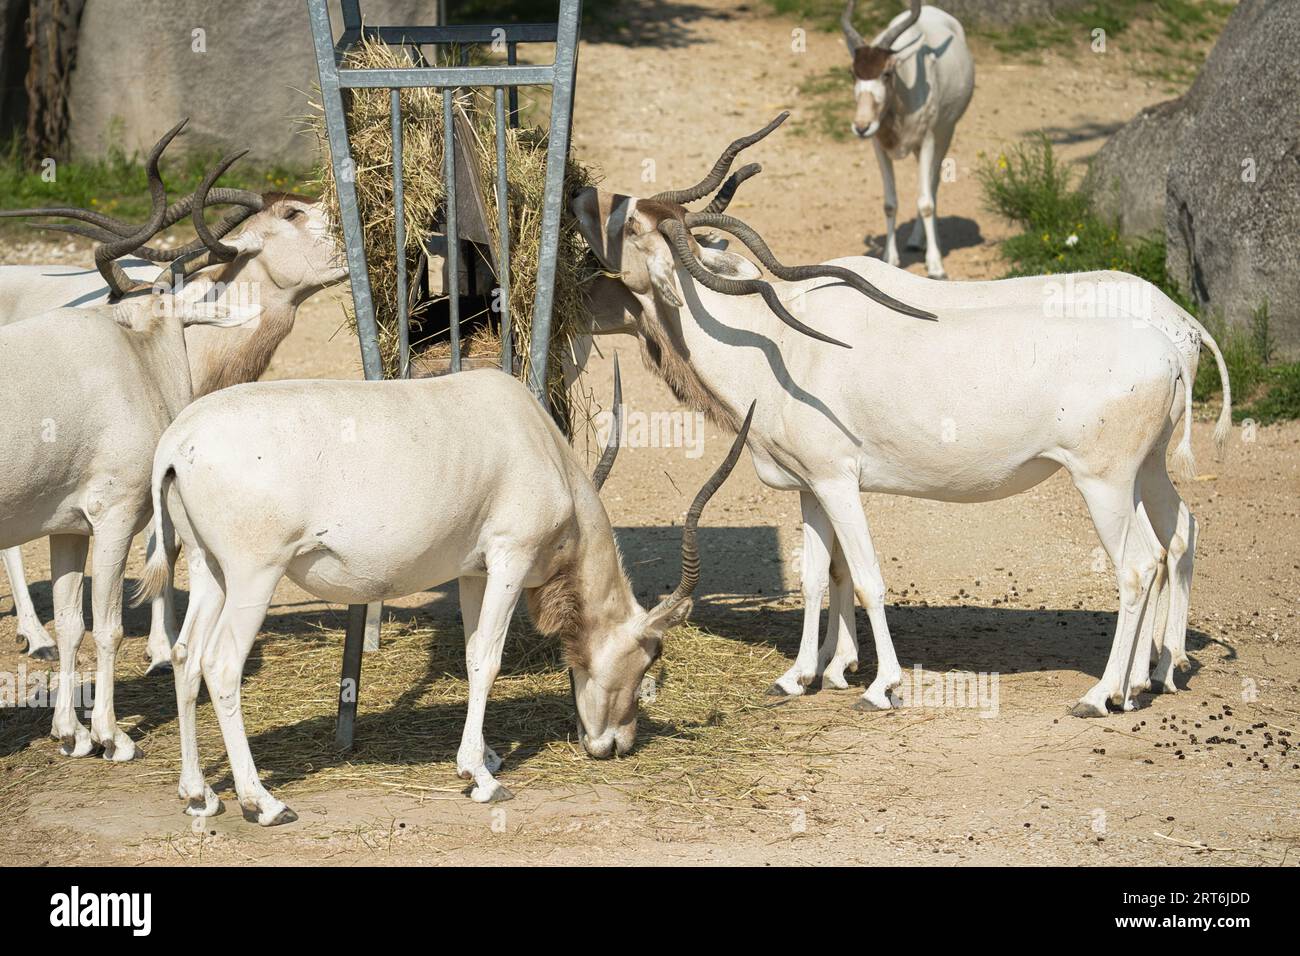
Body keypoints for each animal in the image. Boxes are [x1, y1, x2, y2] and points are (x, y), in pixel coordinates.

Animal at [0, 120, 346, 760]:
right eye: (292, 212)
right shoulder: (114, 510)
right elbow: (109, 619)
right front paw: (112, 734)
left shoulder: (77, 518)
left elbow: (85, 611)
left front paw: (75, 730)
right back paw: (32, 635)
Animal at [133, 364, 751, 824]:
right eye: (650, 659)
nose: (614, 745)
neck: (535, 440)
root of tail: (176, 444)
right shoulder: (509, 556)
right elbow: (487, 658)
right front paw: (480, 778)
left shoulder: (475, 571)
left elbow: (475, 648)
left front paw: (489, 756)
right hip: (254, 574)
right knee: (220, 663)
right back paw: (261, 803)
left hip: (211, 570)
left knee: (186, 657)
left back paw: (198, 794)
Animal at [570, 115, 1232, 718]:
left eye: (631, 224)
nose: (578, 197)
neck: (774, 339)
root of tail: (1175, 339)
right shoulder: (813, 488)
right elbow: (818, 576)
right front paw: (800, 676)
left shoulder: (839, 482)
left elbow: (865, 577)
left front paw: (879, 686)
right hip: (1147, 470)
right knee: (1177, 537)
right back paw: (1146, 679)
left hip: (1105, 482)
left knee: (1138, 564)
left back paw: (1102, 695)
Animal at [841, 1, 974, 279]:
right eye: (852, 73)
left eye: (887, 72)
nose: (861, 127)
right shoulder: (878, 146)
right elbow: (890, 203)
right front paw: (889, 258)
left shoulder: (928, 140)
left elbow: (926, 202)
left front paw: (936, 266)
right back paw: (915, 241)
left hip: (945, 133)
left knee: (932, 185)